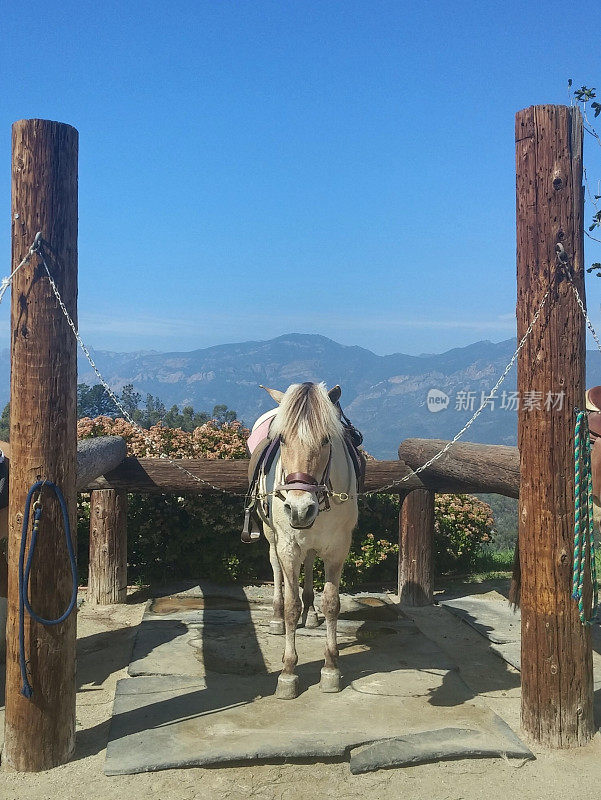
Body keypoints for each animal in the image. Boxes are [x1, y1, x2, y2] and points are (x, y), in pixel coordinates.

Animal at [256, 382, 358, 700]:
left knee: (310, 564)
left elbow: (332, 603)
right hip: (273, 538)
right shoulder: (288, 546)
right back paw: (277, 618)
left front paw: (331, 668)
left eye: (326, 440)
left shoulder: (338, 549)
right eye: (282, 439)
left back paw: (310, 614)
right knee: (276, 569)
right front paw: (288, 672)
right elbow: (291, 605)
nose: (299, 509)